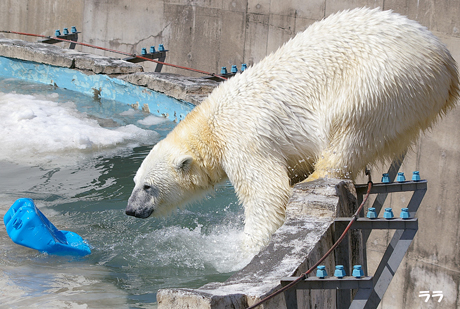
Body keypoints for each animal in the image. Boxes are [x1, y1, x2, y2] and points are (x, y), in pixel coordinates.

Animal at [125, 7, 456, 250]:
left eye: (147, 186)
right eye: (135, 182)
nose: (130, 210)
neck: (210, 124)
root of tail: (446, 64)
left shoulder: (244, 139)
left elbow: (266, 192)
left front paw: (248, 249)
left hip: (384, 78)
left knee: (351, 126)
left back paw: (318, 175)